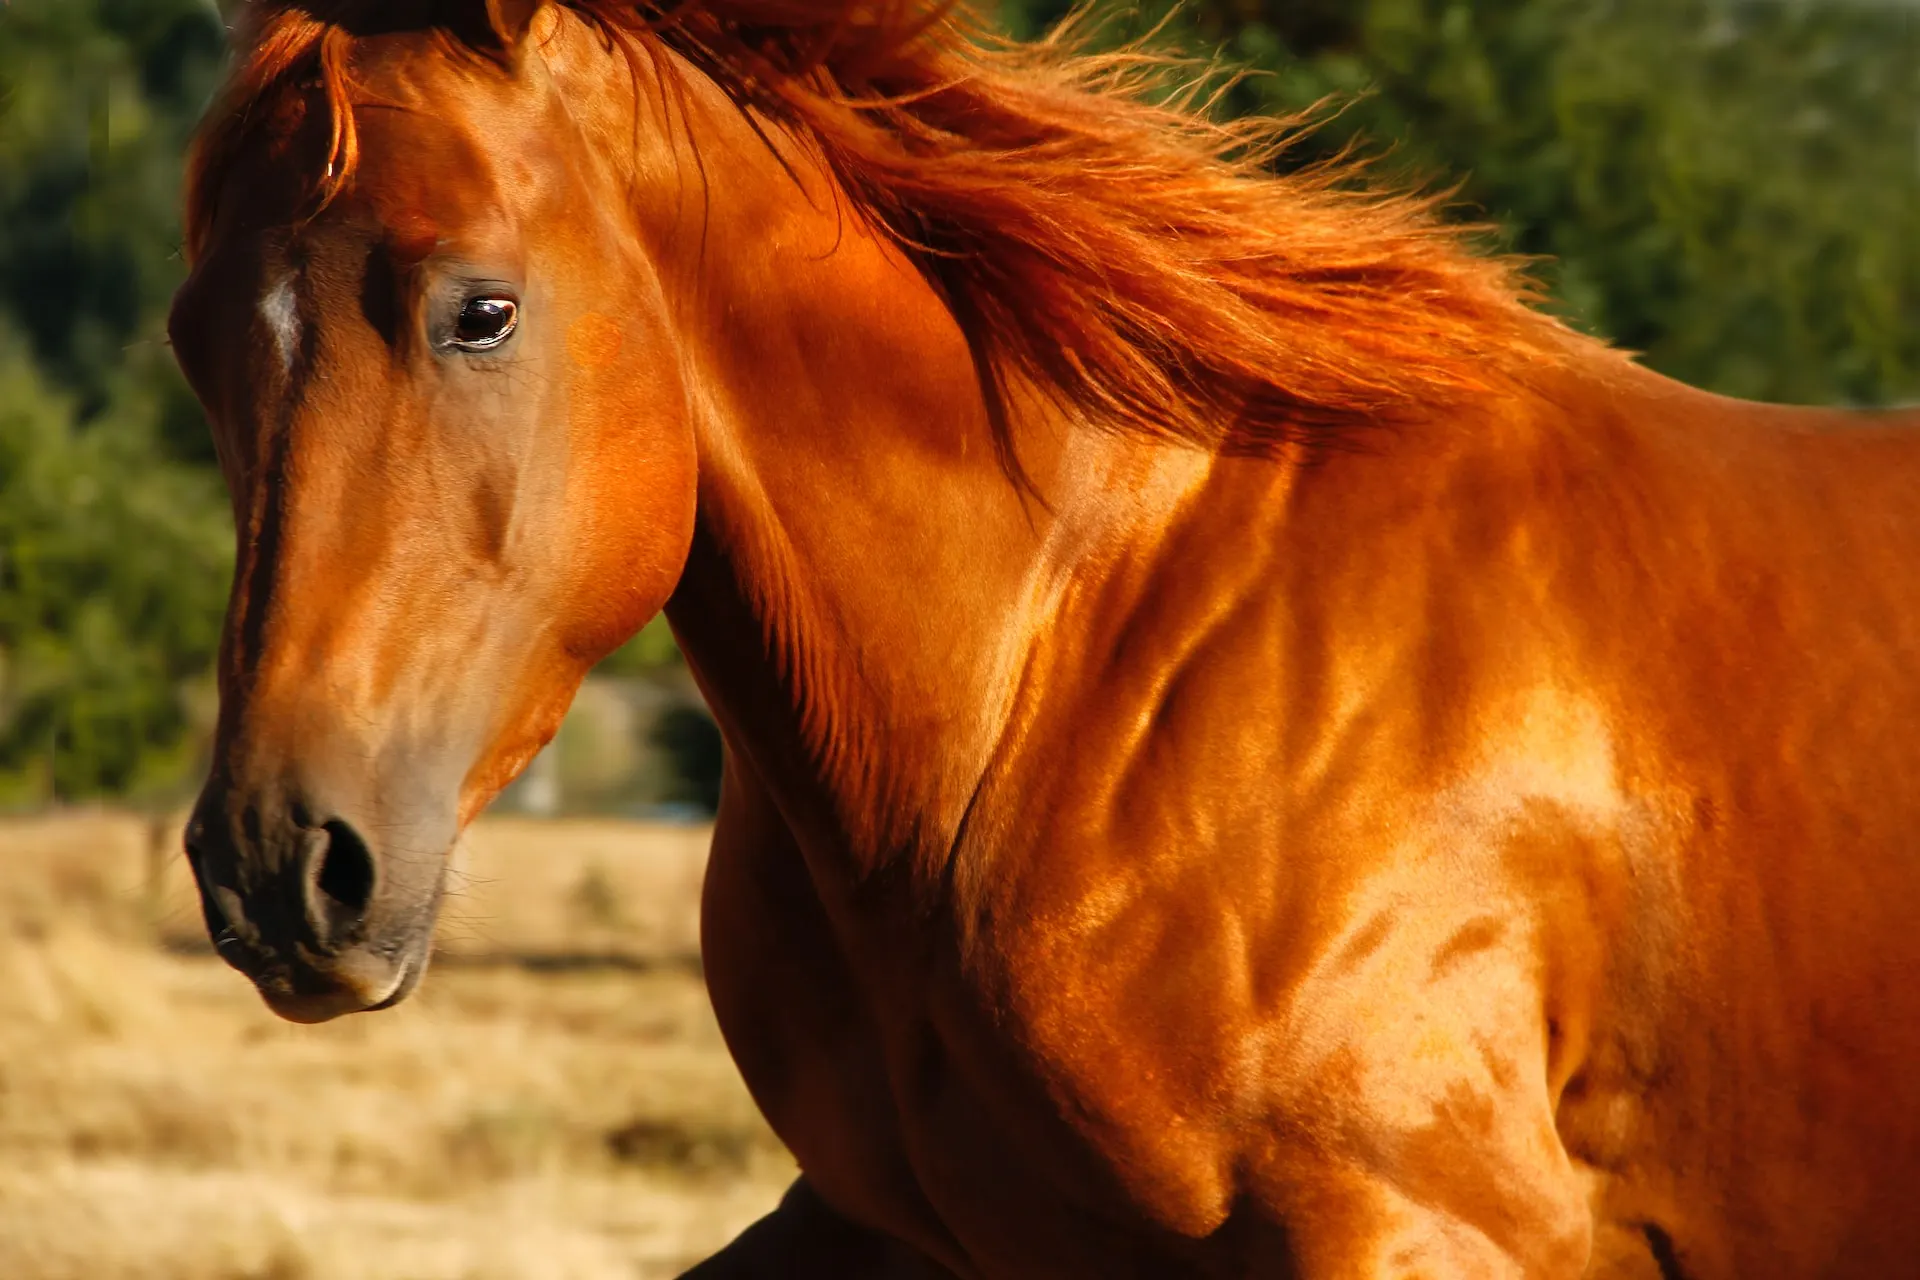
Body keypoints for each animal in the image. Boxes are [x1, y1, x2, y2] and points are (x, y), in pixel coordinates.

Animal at [168, 5, 1920, 1274]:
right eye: (195, 341)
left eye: (482, 310)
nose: (281, 863)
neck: (1067, 660)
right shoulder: (891, 1229)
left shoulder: (1420, 1228)